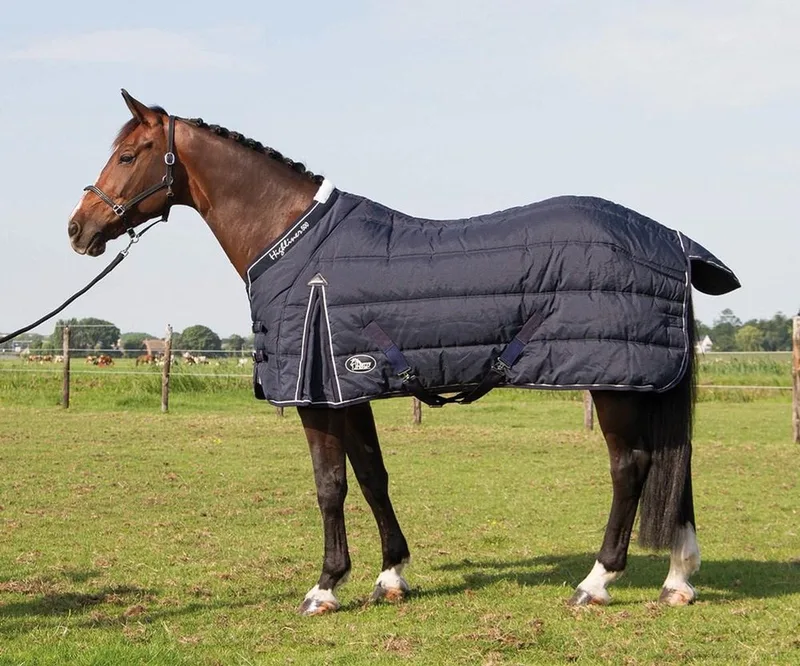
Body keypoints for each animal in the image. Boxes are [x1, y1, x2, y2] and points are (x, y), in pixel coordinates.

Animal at [67, 90, 739, 616]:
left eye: (128, 155)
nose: (78, 229)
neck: (292, 240)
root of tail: (672, 242)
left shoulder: (317, 395)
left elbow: (330, 485)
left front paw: (325, 587)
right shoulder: (347, 388)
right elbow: (372, 476)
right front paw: (390, 575)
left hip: (615, 384)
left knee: (632, 468)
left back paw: (596, 582)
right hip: (647, 383)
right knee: (674, 466)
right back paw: (678, 581)